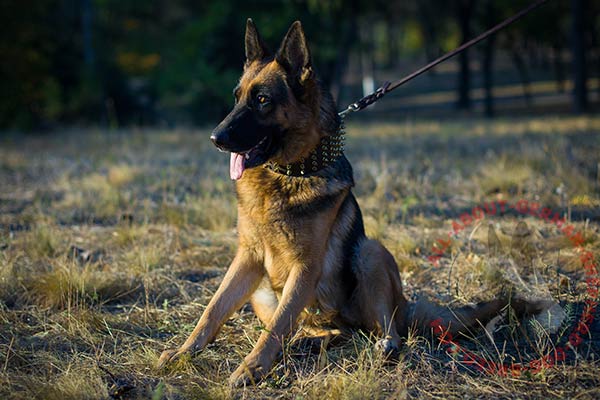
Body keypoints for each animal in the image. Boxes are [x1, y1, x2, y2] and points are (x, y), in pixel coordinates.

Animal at [157, 19, 548, 388]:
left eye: (263, 100)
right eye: (237, 97)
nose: (215, 138)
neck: (290, 174)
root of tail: (406, 307)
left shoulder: (306, 267)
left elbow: (276, 327)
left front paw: (251, 368)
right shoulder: (247, 257)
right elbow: (214, 309)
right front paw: (184, 351)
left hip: (369, 253)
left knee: (382, 329)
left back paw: (380, 347)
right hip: (264, 292)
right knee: (327, 331)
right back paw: (307, 341)